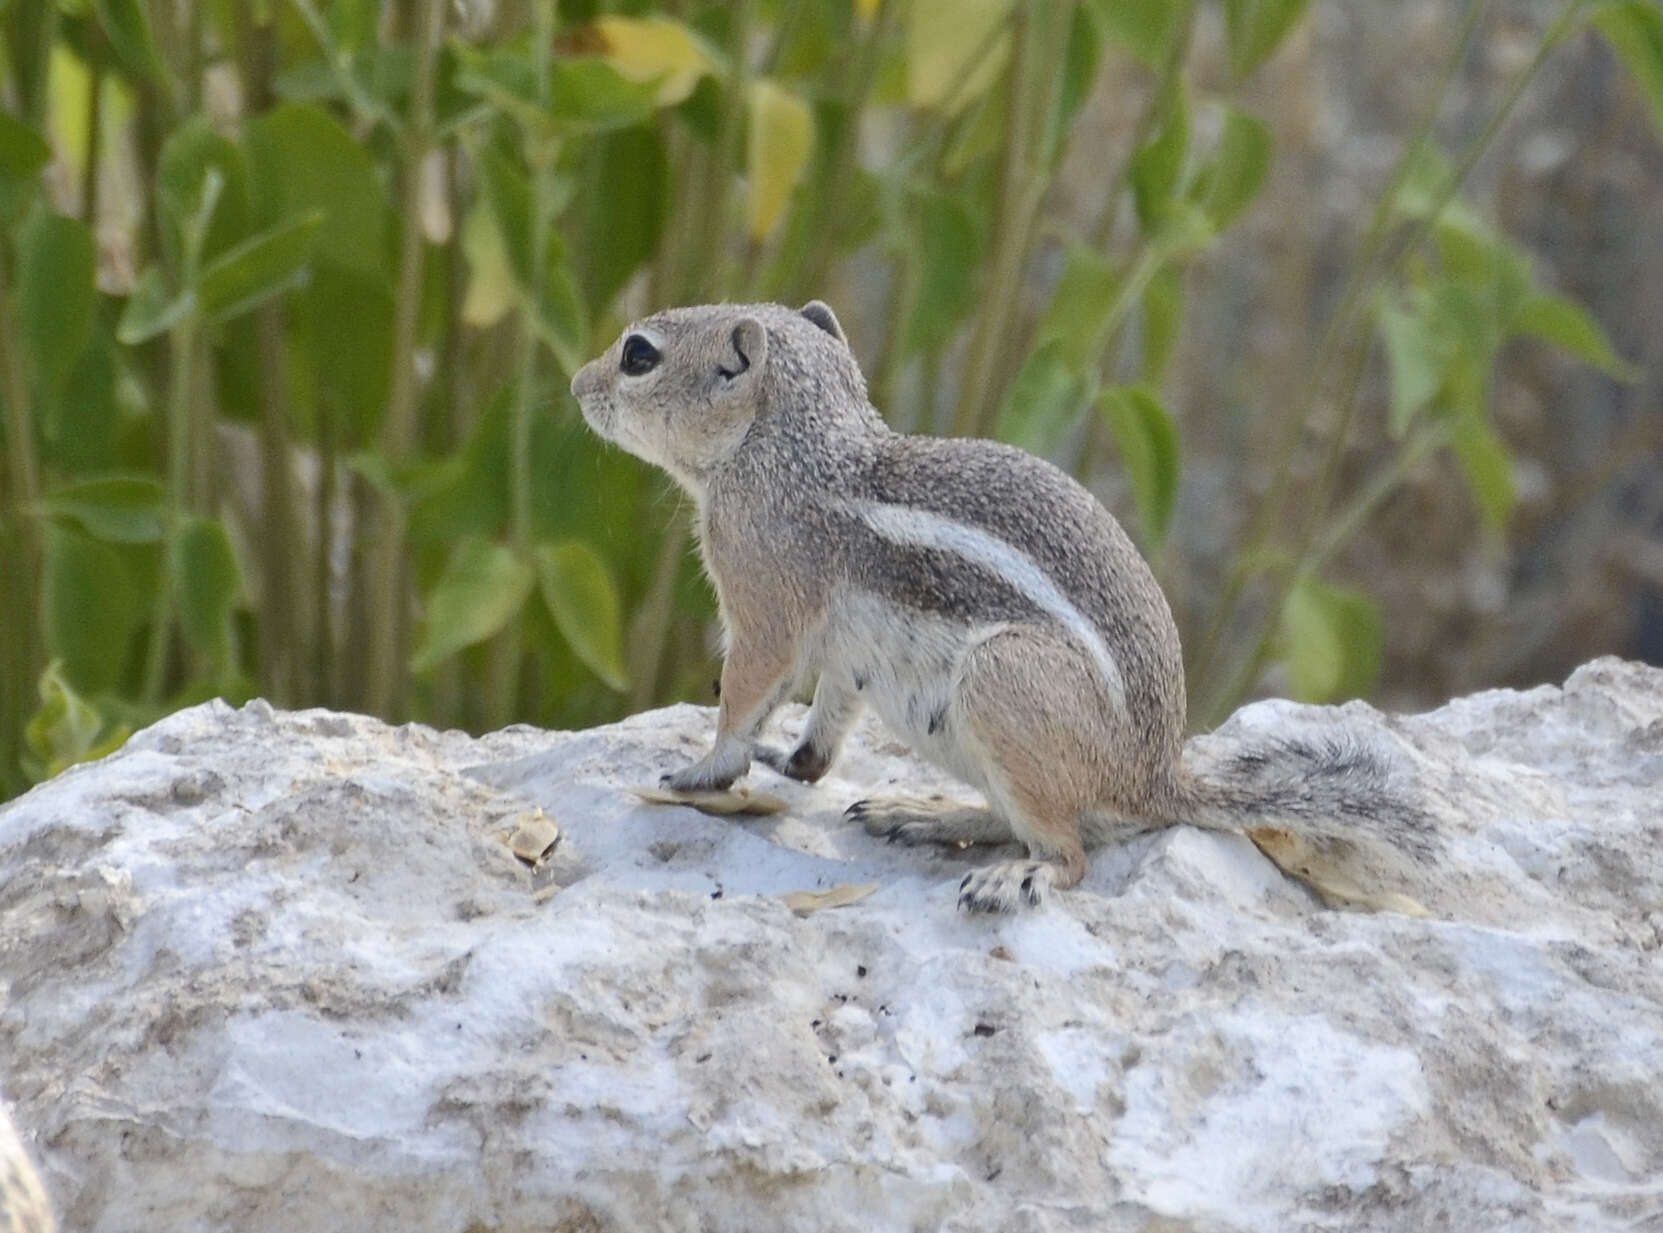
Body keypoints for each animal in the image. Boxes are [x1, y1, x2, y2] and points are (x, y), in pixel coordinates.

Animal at [572, 301, 1430, 911]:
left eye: (638, 354)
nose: (577, 383)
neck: (789, 450)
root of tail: (1155, 782)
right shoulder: (844, 655)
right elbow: (828, 717)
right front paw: (795, 760)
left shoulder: (764, 597)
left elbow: (746, 693)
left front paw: (699, 768)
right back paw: (924, 814)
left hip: (1002, 677)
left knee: (1069, 853)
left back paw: (1011, 878)